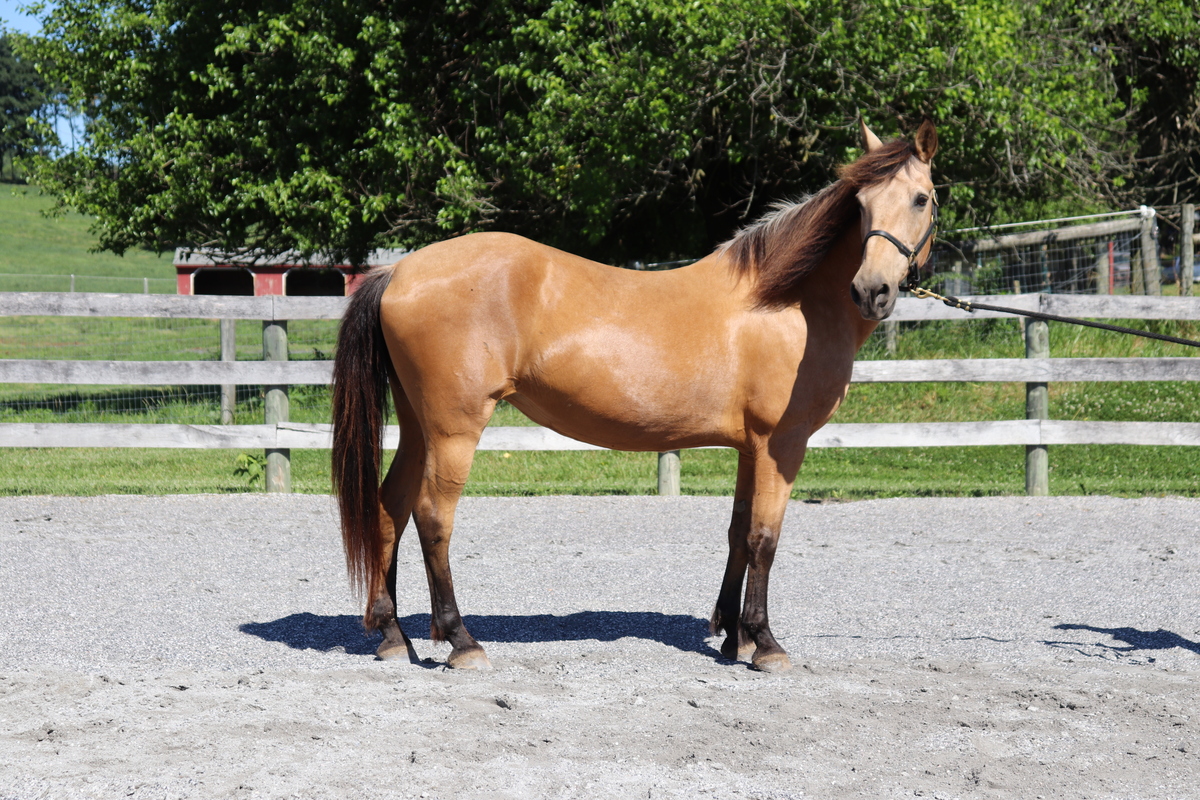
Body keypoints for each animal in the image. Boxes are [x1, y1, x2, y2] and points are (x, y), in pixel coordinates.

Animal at [331, 119, 940, 672]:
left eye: (920, 198)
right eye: (860, 203)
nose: (872, 290)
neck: (786, 302)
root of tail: (399, 270)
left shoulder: (751, 448)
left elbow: (738, 533)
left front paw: (733, 637)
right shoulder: (781, 444)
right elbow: (765, 538)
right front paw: (765, 644)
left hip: (419, 425)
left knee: (389, 506)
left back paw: (394, 637)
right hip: (454, 428)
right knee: (433, 516)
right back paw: (462, 641)